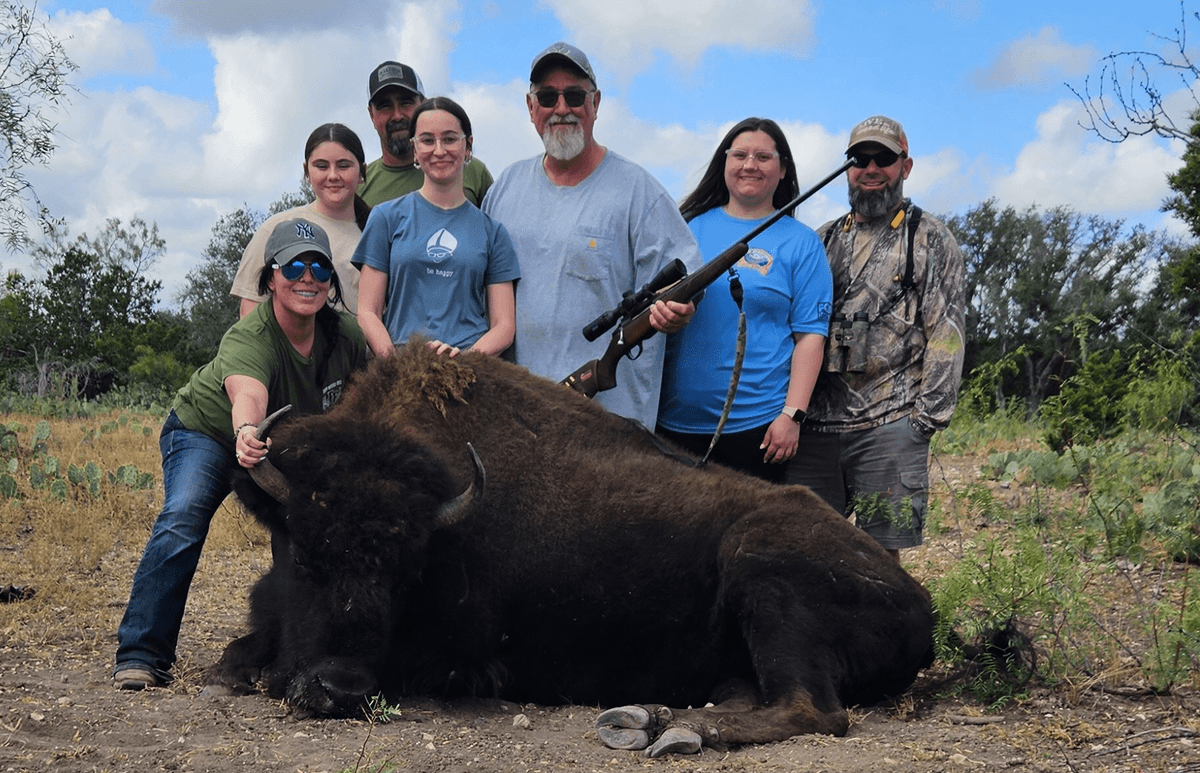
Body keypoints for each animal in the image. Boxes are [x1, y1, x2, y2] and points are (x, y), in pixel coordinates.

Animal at [206, 341, 934, 756]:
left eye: (407, 574)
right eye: (304, 554)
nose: (340, 687)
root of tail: (921, 606)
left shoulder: (461, 655)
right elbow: (239, 649)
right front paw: (239, 667)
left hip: (761, 568)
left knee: (811, 708)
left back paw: (665, 729)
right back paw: (650, 717)